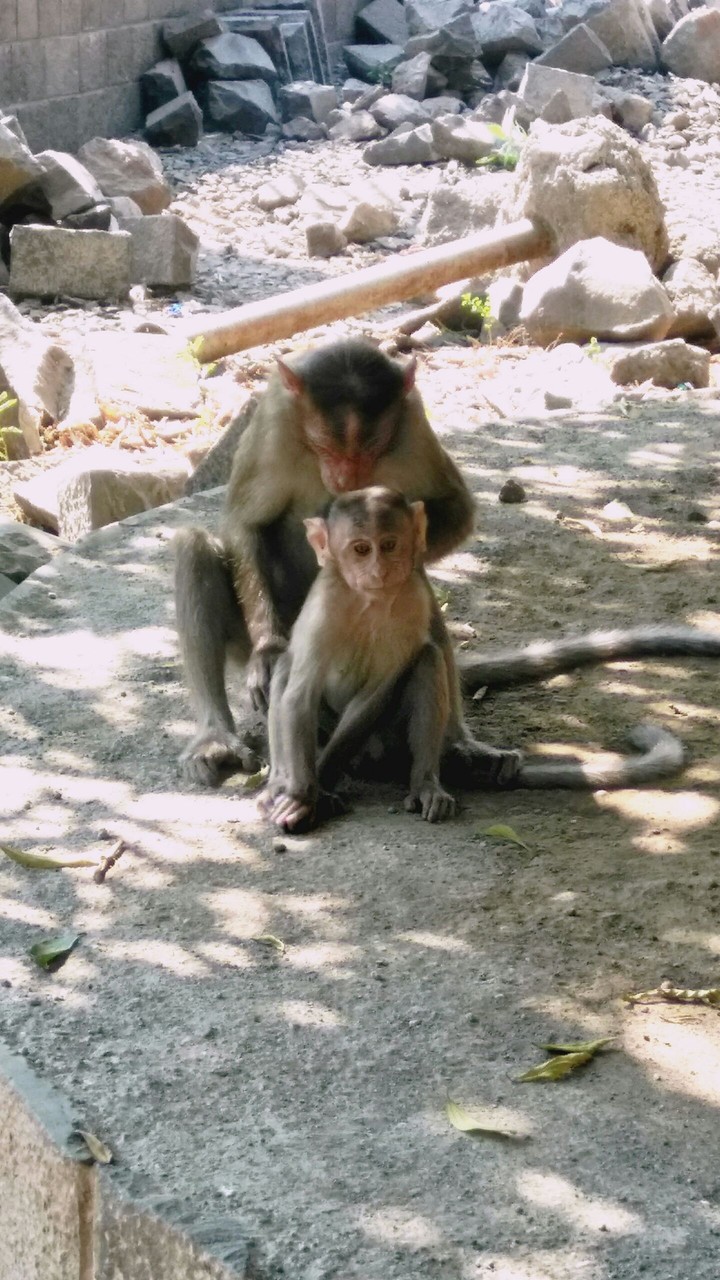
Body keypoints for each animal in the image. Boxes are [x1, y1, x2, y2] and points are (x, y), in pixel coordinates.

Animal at [175, 338, 519, 789]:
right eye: (325, 446)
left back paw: (458, 746)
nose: (345, 481)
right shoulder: (274, 418)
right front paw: (268, 650)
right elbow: (244, 522)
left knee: (419, 592)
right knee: (193, 548)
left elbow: (455, 508)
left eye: (370, 449)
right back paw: (215, 737)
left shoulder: (412, 421)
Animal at [259, 487, 687, 833]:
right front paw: (305, 794)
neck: (369, 602)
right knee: (285, 666)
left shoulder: (412, 599)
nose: (379, 569)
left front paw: (320, 787)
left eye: (390, 544)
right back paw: (283, 781)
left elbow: (381, 687)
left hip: (387, 741)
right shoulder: (325, 607)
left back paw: (429, 781)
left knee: (426, 659)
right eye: (361, 549)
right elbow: (300, 694)